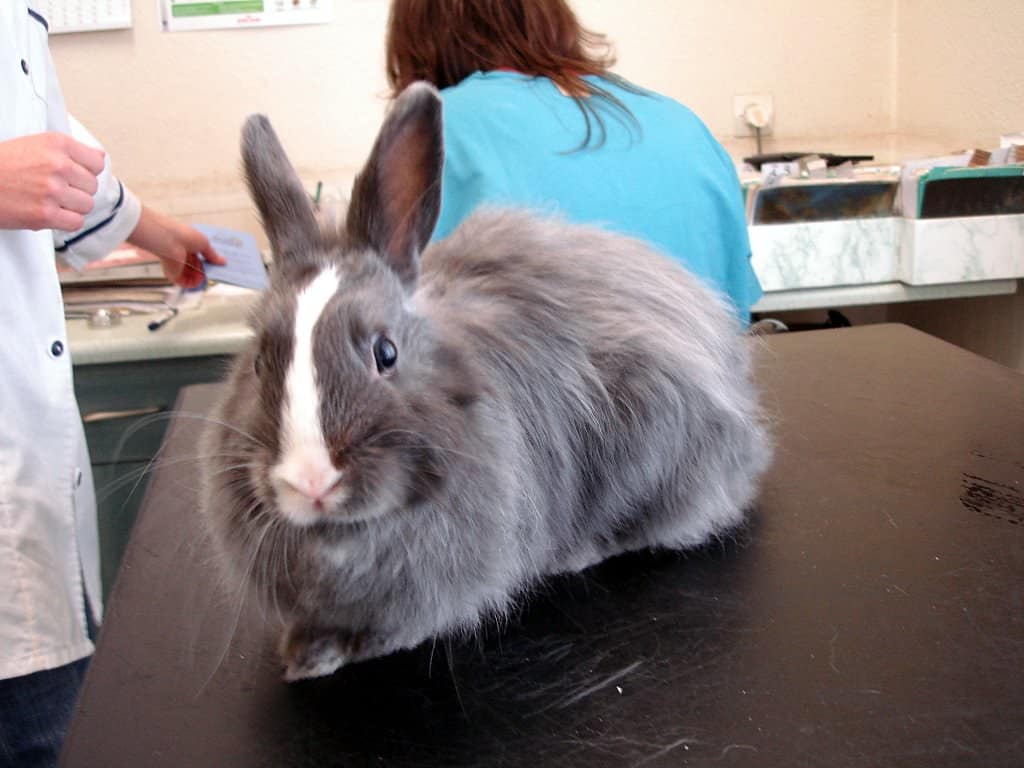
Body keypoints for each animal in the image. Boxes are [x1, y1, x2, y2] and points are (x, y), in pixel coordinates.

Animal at [199, 82, 771, 682]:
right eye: (259, 362)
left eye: (386, 352)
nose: (310, 481)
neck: (345, 539)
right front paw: (303, 650)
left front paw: (328, 656)